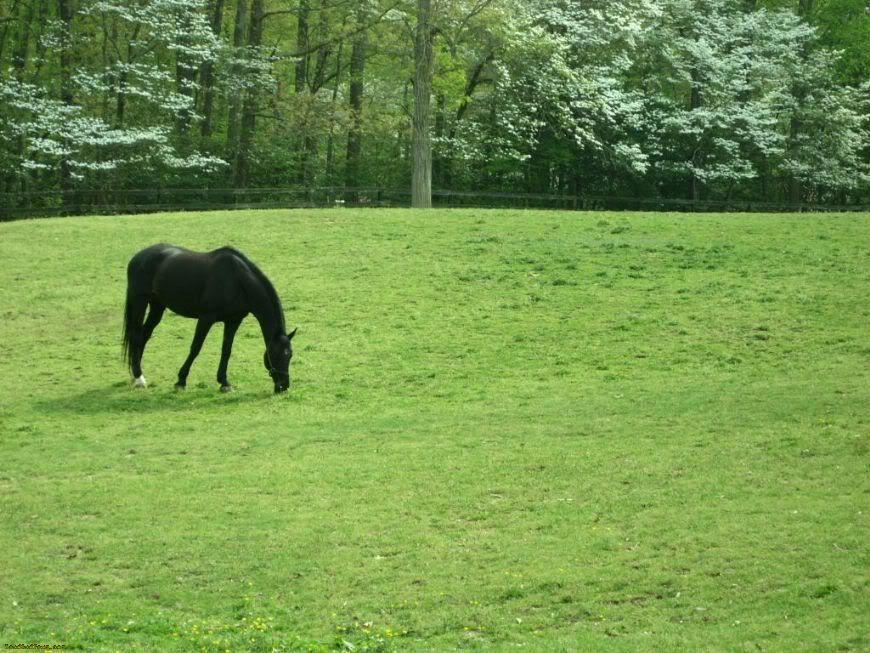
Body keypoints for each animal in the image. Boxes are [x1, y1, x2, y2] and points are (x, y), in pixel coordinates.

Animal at [121, 243, 300, 392]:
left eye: (290, 354)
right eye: (275, 354)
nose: (283, 385)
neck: (237, 280)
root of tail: (138, 257)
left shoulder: (233, 320)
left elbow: (226, 350)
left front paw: (224, 382)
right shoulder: (206, 318)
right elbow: (195, 348)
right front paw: (181, 380)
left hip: (157, 305)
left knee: (144, 335)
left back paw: (136, 375)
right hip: (139, 301)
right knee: (136, 336)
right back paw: (139, 378)